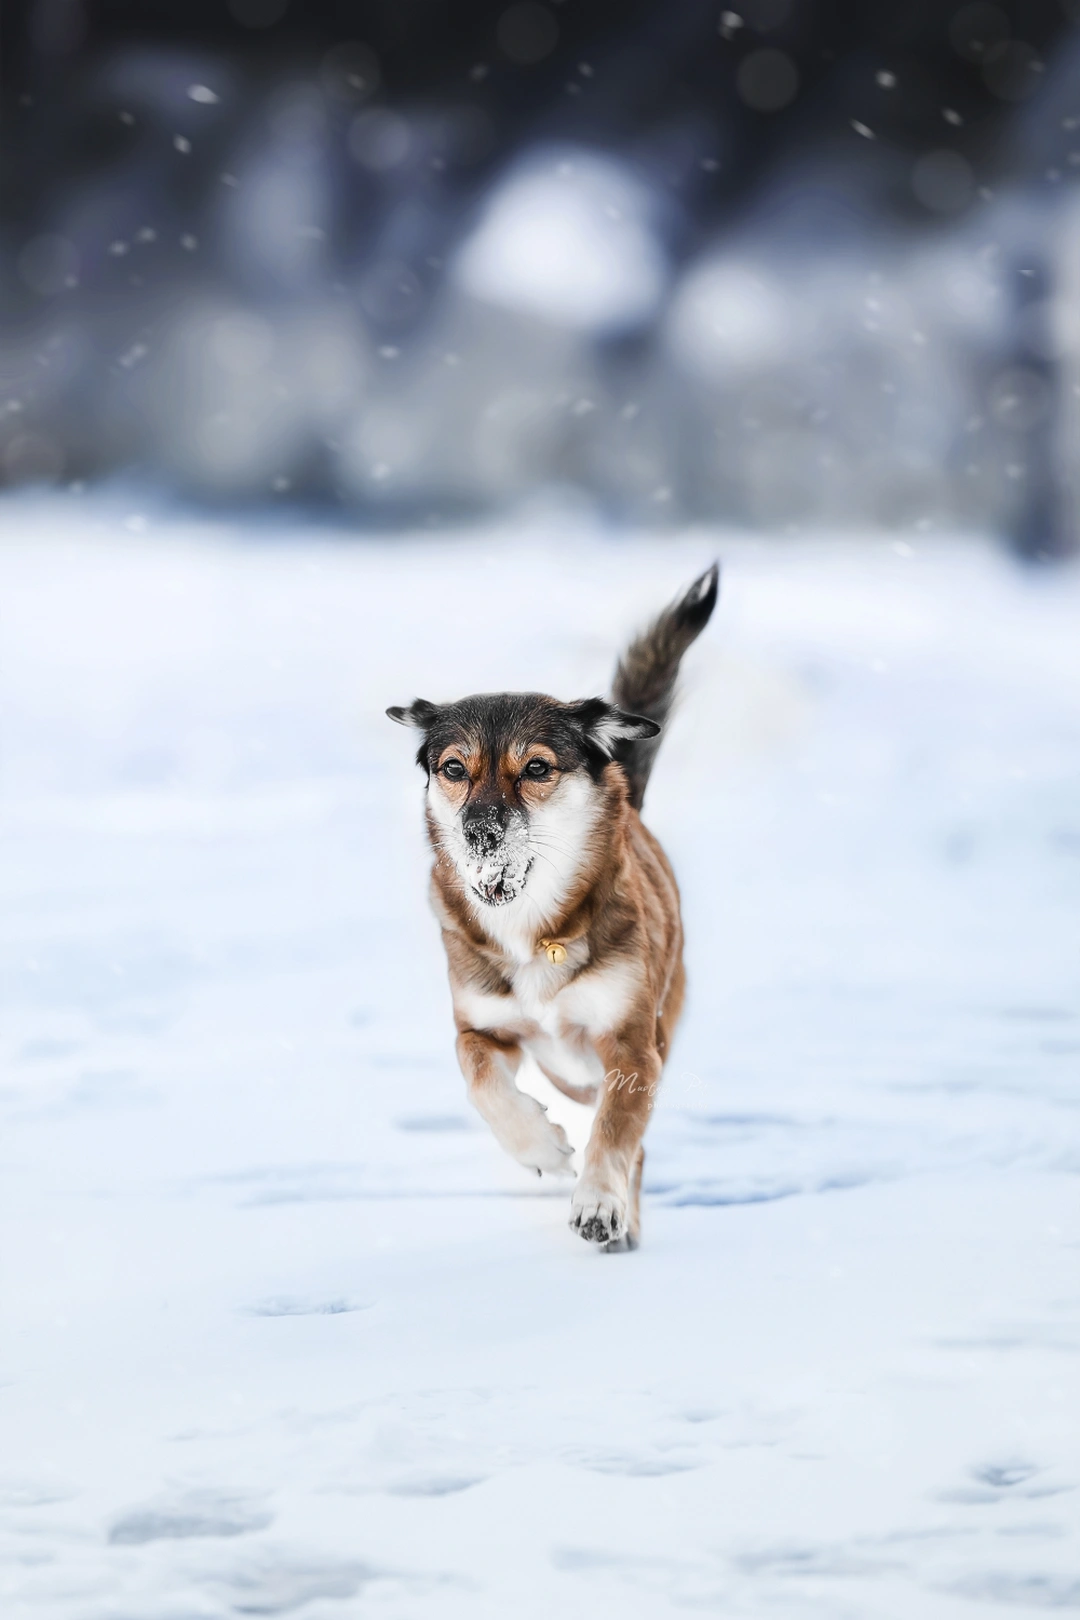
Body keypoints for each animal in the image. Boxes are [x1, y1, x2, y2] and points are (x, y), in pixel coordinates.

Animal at [388, 563, 718, 1244]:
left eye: (536, 768)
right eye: (454, 768)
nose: (479, 832)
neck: (532, 928)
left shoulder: (630, 1043)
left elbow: (617, 1132)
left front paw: (598, 1202)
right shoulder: (483, 1025)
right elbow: (480, 1078)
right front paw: (541, 1146)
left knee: (628, 1132)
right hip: (567, 1070)